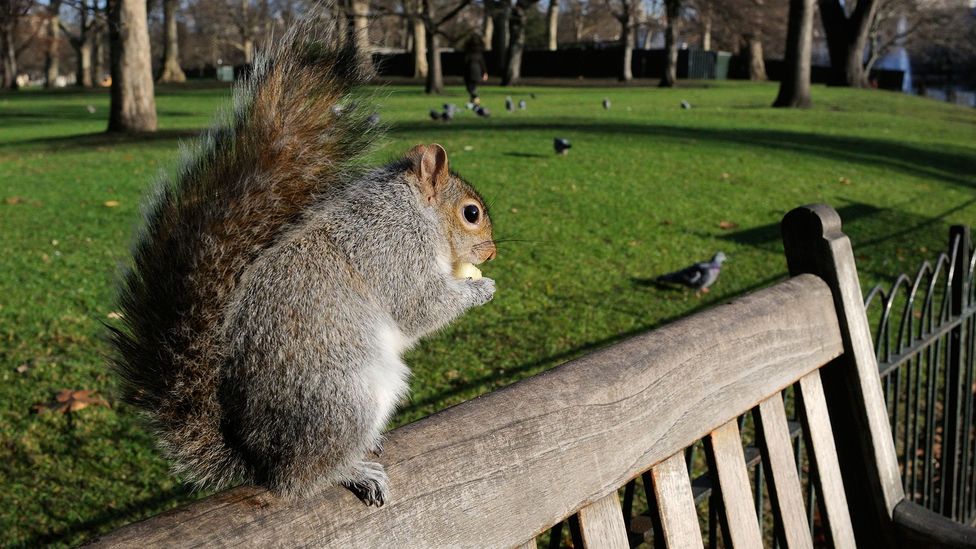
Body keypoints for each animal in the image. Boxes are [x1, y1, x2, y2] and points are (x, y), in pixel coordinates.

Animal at [108, 10, 496, 506]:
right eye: (471, 214)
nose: (492, 251)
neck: (414, 210)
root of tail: (256, 456)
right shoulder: (391, 248)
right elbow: (418, 306)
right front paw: (481, 288)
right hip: (344, 398)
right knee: (298, 481)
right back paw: (351, 471)